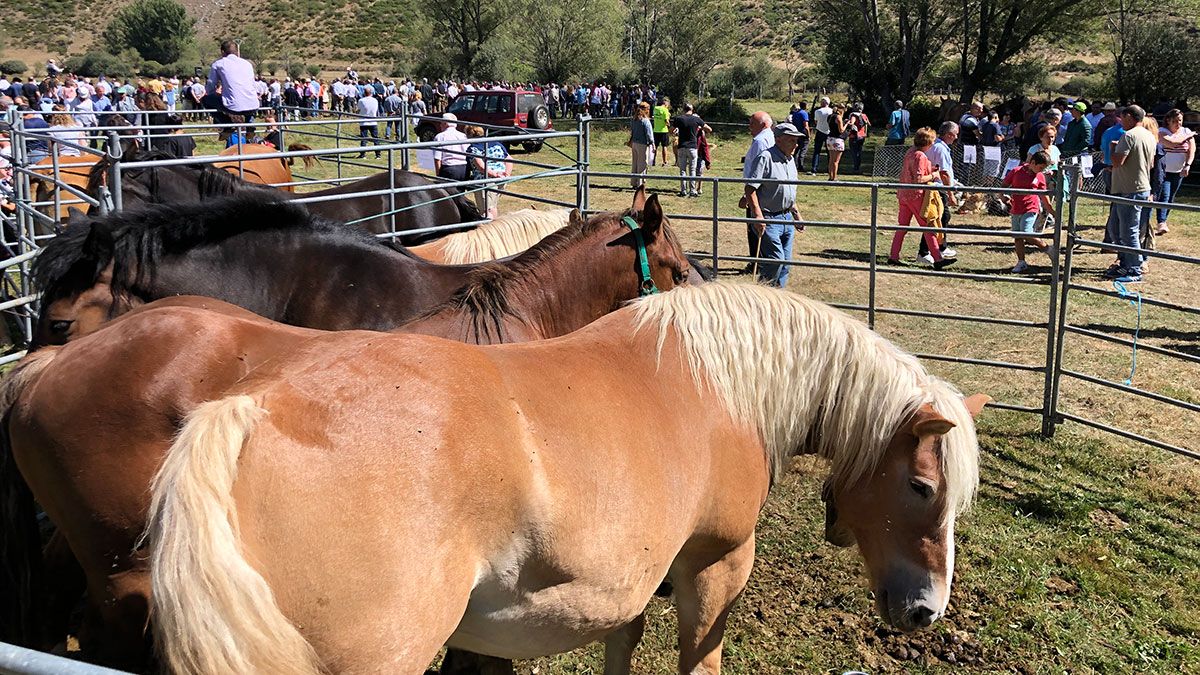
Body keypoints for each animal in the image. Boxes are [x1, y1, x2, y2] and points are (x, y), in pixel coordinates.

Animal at [142, 283, 984, 672]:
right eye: (922, 488)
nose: (927, 610)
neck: (724, 384)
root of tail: (252, 409)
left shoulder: (629, 588)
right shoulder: (714, 568)